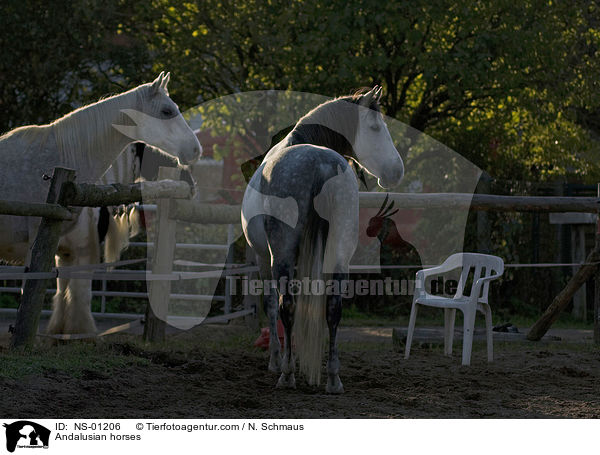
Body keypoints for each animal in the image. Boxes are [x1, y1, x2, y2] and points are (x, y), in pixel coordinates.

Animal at [241, 87, 406, 394]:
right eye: (375, 127)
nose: (396, 171)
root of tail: (321, 165)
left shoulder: (263, 258)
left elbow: (270, 305)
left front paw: (276, 360)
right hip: (339, 255)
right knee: (333, 308)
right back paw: (332, 377)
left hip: (281, 256)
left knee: (286, 306)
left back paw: (287, 374)